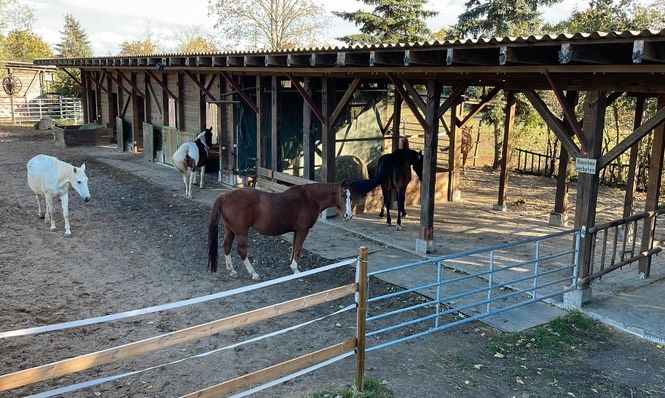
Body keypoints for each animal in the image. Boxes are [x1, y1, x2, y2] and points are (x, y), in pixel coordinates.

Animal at [208, 183, 352, 280]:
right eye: (343, 195)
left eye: (351, 196)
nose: (348, 216)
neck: (309, 198)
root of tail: (225, 195)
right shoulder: (303, 230)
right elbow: (298, 249)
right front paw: (296, 270)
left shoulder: (296, 230)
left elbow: (294, 248)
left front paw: (292, 265)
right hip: (241, 232)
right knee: (242, 251)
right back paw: (253, 273)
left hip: (230, 230)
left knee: (227, 246)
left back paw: (231, 270)